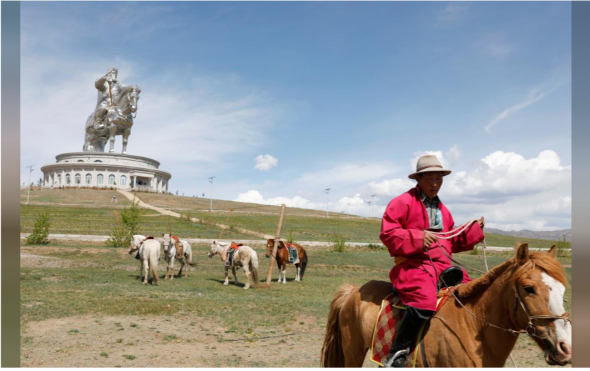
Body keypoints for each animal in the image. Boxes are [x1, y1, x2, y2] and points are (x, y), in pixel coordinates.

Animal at [324, 244, 572, 370]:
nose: (565, 347)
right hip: (353, 352)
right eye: (529, 288)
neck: (473, 327)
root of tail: (353, 291)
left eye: (562, 289)